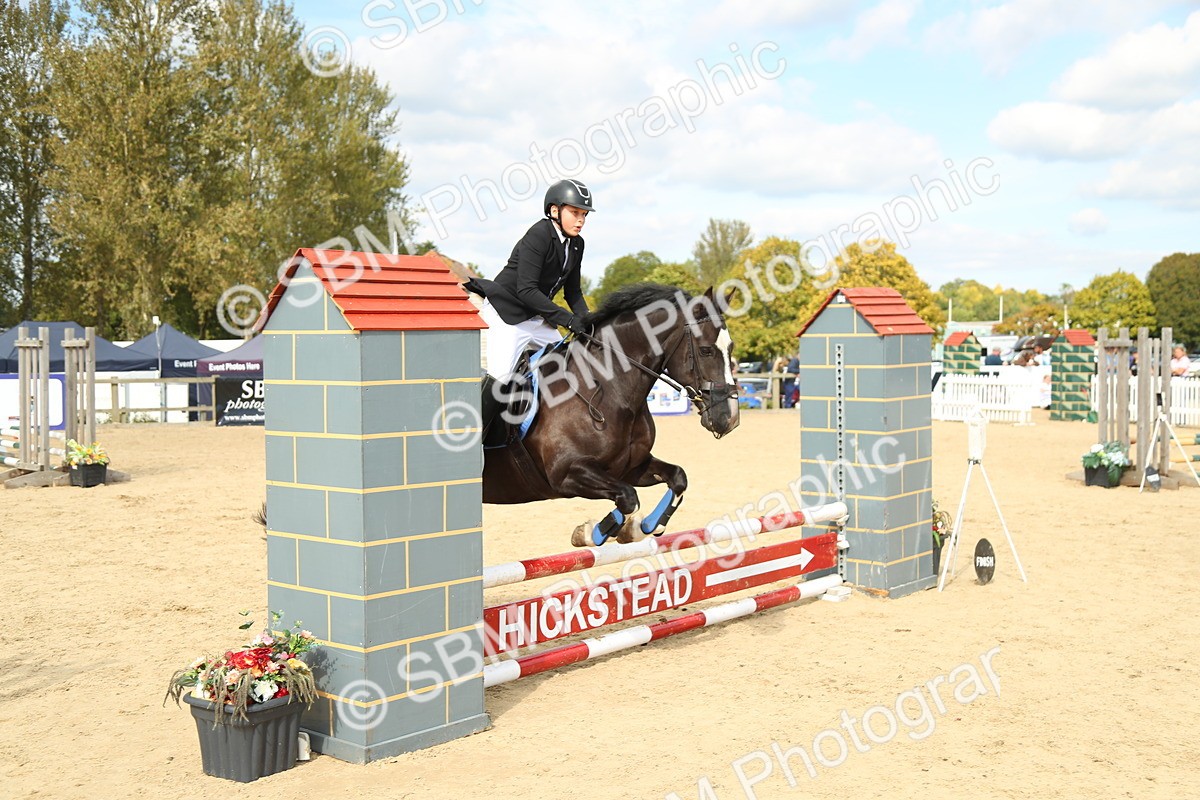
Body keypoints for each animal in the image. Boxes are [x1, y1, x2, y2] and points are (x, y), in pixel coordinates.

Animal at [481, 283, 740, 547]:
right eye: (706, 350)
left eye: (731, 348)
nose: (729, 418)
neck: (608, 389)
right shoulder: (566, 474)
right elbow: (628, 497)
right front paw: (589, 533)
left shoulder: (630, 468)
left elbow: (678, 478)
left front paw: (639, 528)